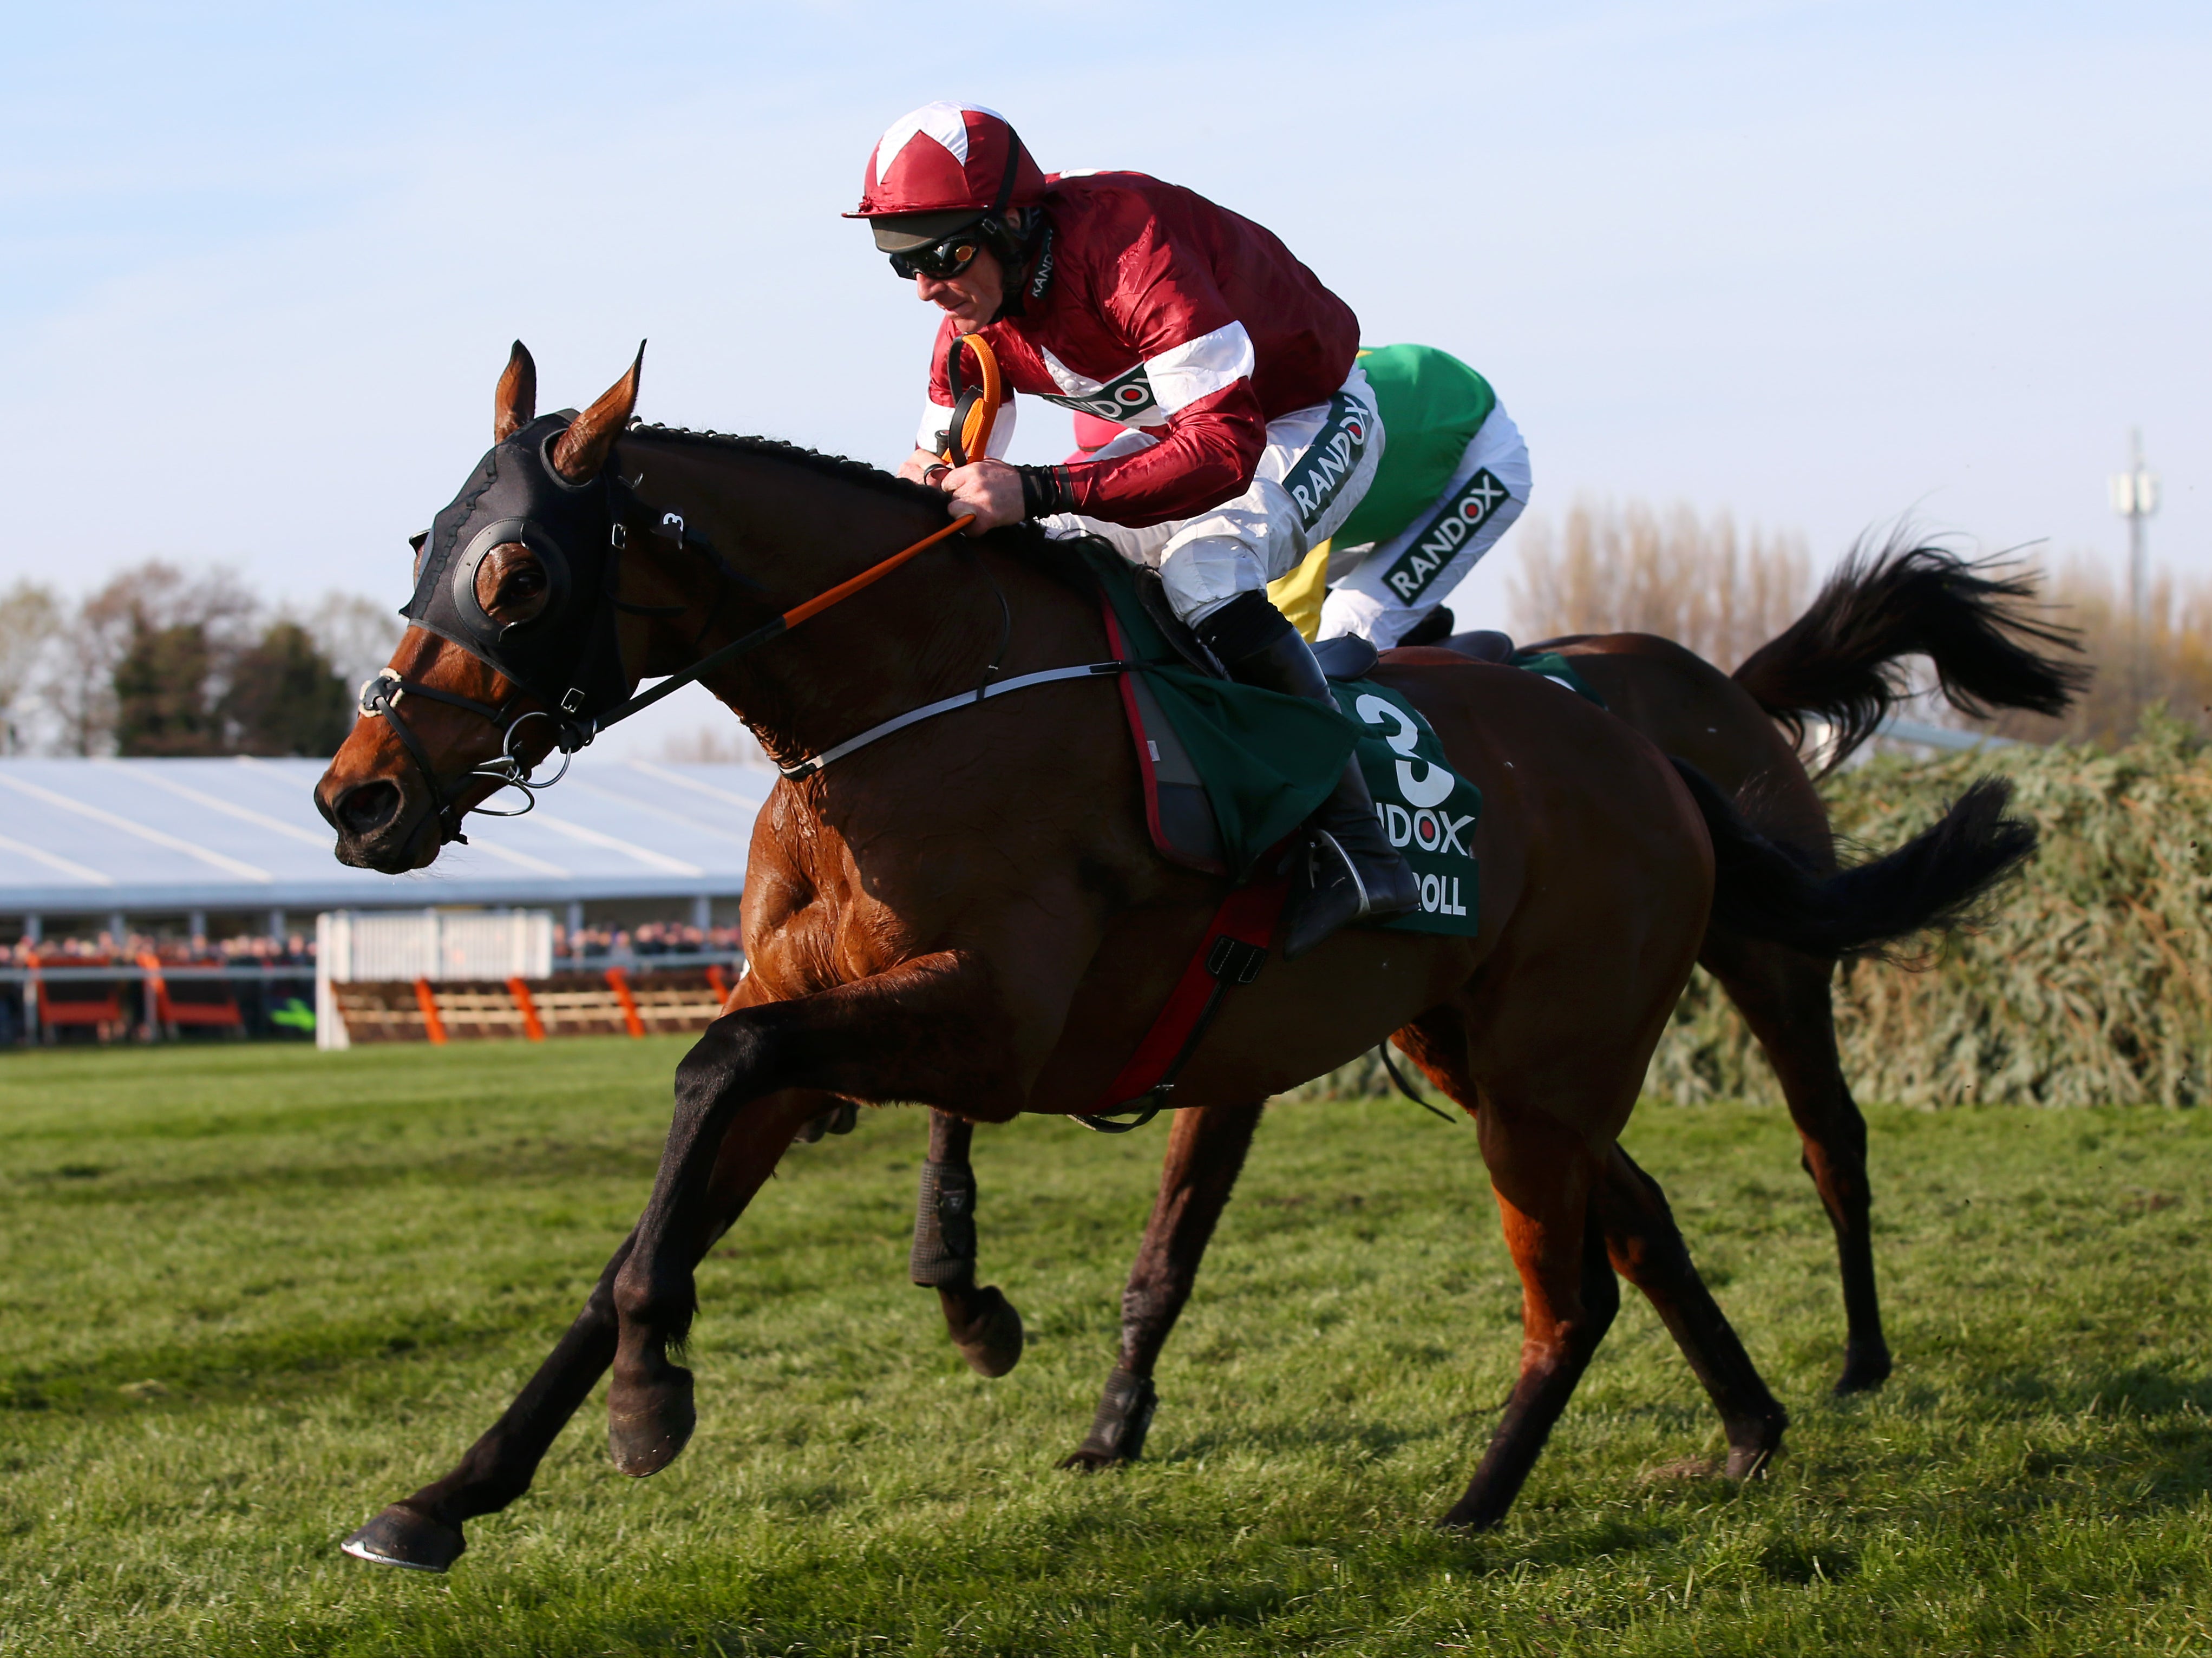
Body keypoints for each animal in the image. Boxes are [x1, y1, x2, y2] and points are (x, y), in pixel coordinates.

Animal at [907, 546, 2079, 1467]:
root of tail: (1722, 684)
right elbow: (986, 1116)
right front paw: (981, 1307)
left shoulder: (1210, 1021)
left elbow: (1167, 1229)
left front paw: (1082, 1389)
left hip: (1768, 966)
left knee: (1830, 1137)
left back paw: (1861, 1357)